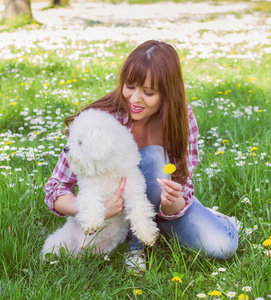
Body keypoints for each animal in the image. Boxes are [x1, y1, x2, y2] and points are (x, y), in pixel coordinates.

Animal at [41, 109, 158, 256]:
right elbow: (91, 205)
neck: (106, 171)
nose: (65, 149)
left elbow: (140, 212)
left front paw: (147, 235)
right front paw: (91, 224)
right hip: (57, 243)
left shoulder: (134, 192)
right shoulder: (89, 191)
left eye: (80, 142)